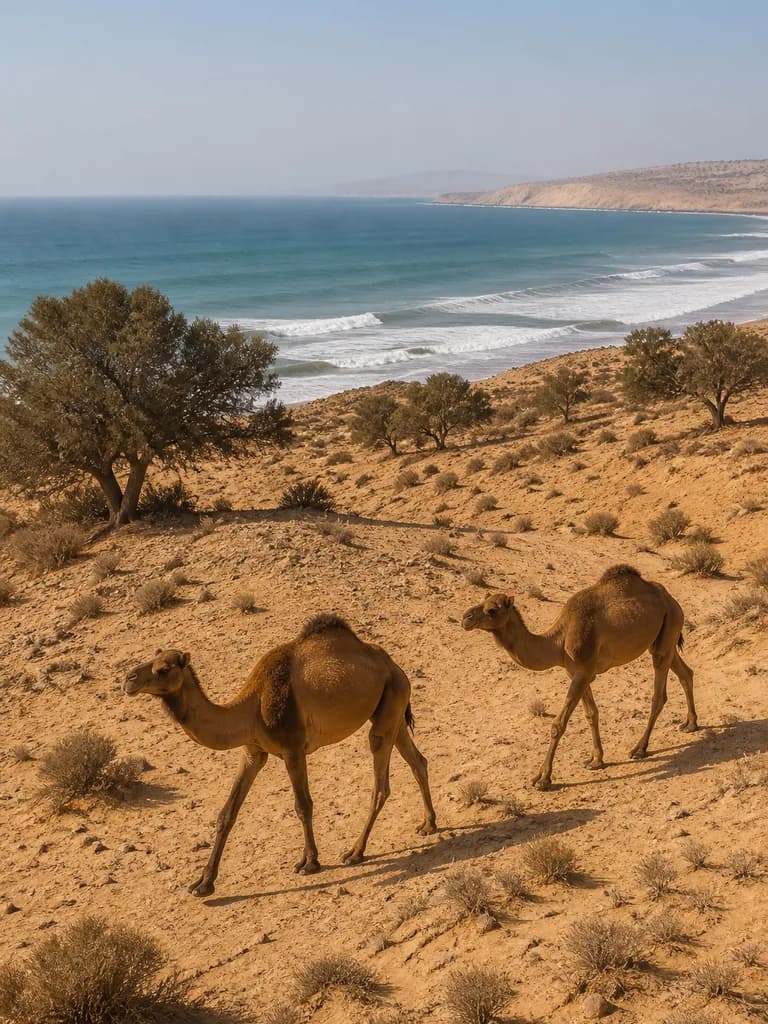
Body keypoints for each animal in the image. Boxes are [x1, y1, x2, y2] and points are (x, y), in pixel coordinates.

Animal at [124, 614, 437, 897]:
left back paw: (355, 852)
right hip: (393, 709)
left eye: (163, 669)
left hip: (389, 703)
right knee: (418, 761)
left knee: (380, 782)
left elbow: (303, 805)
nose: (128, 678)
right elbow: (227, 813)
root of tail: (393, 665)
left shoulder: (292, 748)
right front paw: (202, 883)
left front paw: (310, 862)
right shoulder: (253, 752)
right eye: (150, 660)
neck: (251, 709)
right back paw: (429, 824)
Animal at [461, 565, 697, 790]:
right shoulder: (577, 672)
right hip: (663, 637)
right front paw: (596, 760)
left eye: (492, 610)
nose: (465, 618)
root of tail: (671, 600)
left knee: (658, 695)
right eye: (482, 601)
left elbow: (558, 724)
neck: (558, 641)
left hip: (668, 628)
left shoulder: (583, 672)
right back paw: (690, 724)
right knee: (686, 672)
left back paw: (639, 749)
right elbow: (591, 714)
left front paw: (542, 778)